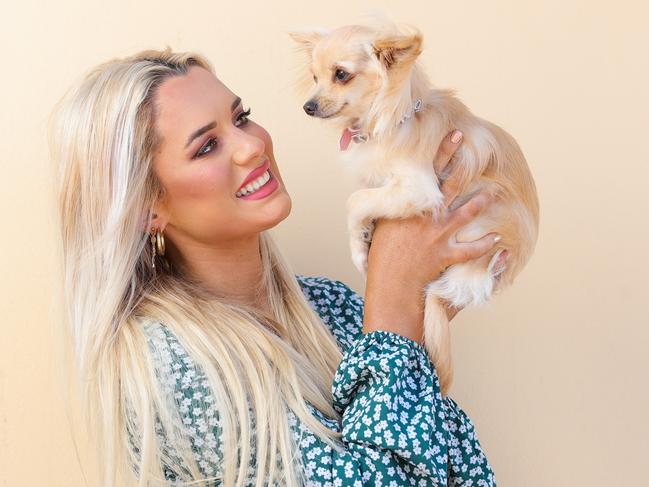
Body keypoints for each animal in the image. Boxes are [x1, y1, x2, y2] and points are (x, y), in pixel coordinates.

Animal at [292, 23, 540, 396]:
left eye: (341, 75)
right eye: (313, 76)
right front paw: (365, 238)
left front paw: (359, 251)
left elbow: (355, 201)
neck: (392, 121)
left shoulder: (418, 190)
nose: (308, 106)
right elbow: (364, 200)